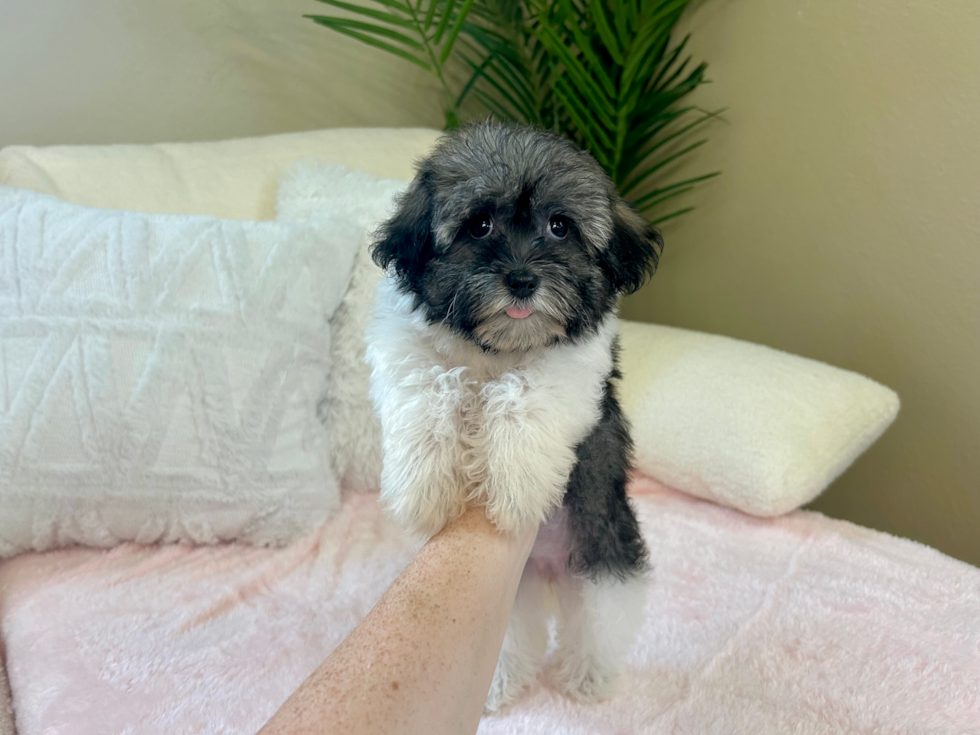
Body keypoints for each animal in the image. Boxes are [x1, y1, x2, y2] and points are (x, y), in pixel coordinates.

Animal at [364, 121, 664, 712]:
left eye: (560, 226)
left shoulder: (575, 366)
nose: (523, 279)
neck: (496, 349)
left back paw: (586, 675)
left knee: (599, 618)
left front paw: (515, 485)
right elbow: (429, 387)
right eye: (479, 225)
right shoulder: (403, 346)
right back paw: (504, 682)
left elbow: (523, 393)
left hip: (603, 549)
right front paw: (426, 488)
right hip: (514, 596)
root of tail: (546, 569)